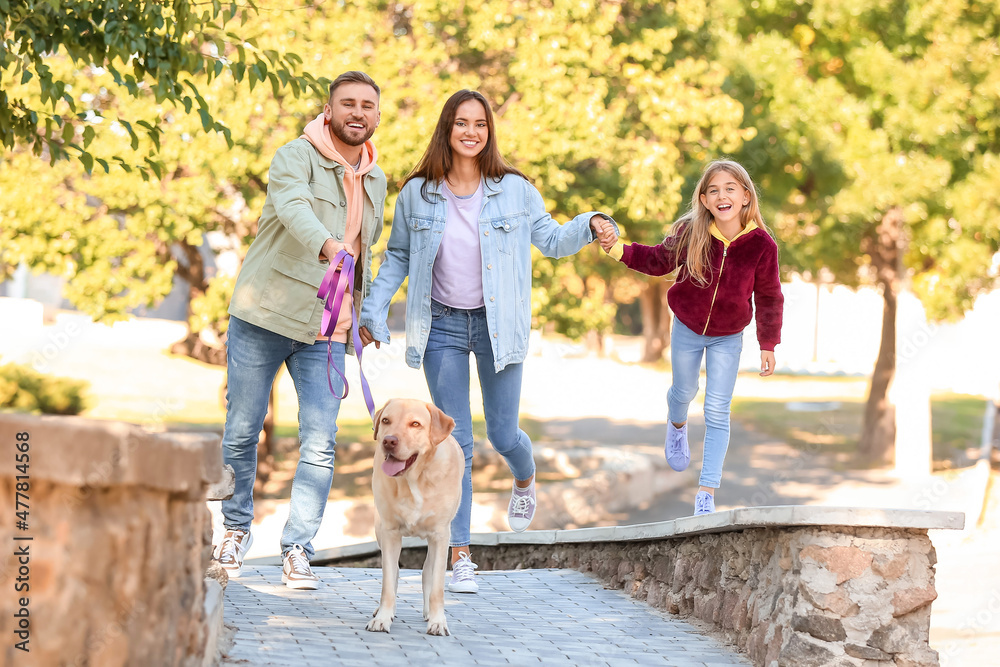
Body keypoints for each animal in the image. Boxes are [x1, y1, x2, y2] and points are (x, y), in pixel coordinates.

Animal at [366, 400, 462, 636]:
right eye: (386, 420)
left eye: (415, 424)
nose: (389, 441)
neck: (413, 480)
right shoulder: (390, 532)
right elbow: (388, 582)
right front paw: (383, 618)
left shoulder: (440, 536)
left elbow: (437, 586)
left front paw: (438, 621)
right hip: (379, 529)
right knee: (395, 572)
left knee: (427, 571)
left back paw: (428, 612)